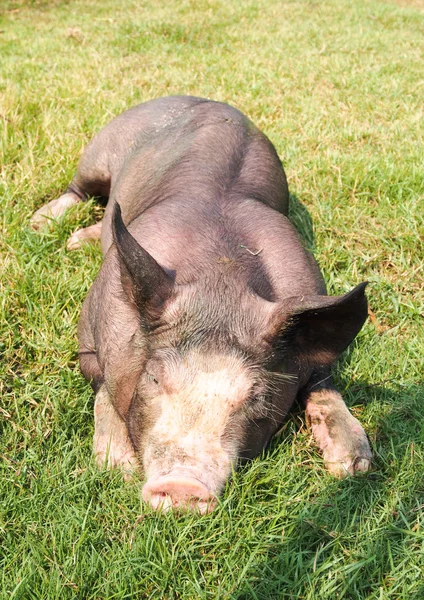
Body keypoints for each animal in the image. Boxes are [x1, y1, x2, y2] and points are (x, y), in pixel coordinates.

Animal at [32, 96, 372, 512]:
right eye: (154, 377)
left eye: (255, 396)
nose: (183, 484)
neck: (218, 277)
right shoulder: (88, 336)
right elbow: (102, 388)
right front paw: (117, 468)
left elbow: (323, 380)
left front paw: (354, 465)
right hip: (98, 154)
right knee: (80, 190)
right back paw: (47, 229)